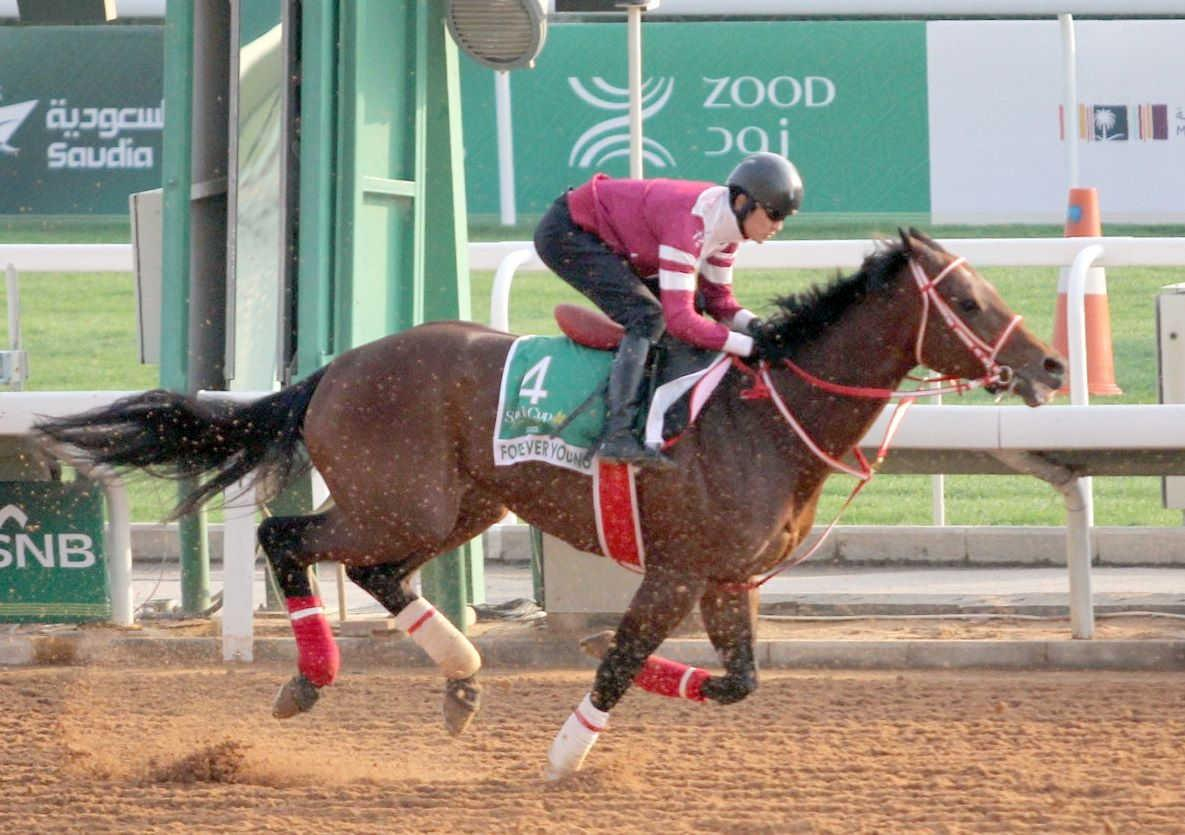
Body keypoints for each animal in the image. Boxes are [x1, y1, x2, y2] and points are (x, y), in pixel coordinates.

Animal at [37, 227, 1066, 776]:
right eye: (968, 302)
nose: (1052, 367)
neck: (762, 411)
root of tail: (335, 367)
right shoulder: (680, 567)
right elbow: (619, 656)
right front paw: (567, 754)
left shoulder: (728, 577)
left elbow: (732, 679)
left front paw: (630, 677)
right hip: (399, 503)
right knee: (289, 539)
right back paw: (310, 677)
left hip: (459, 507)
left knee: (376, 574)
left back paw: (460, 675)